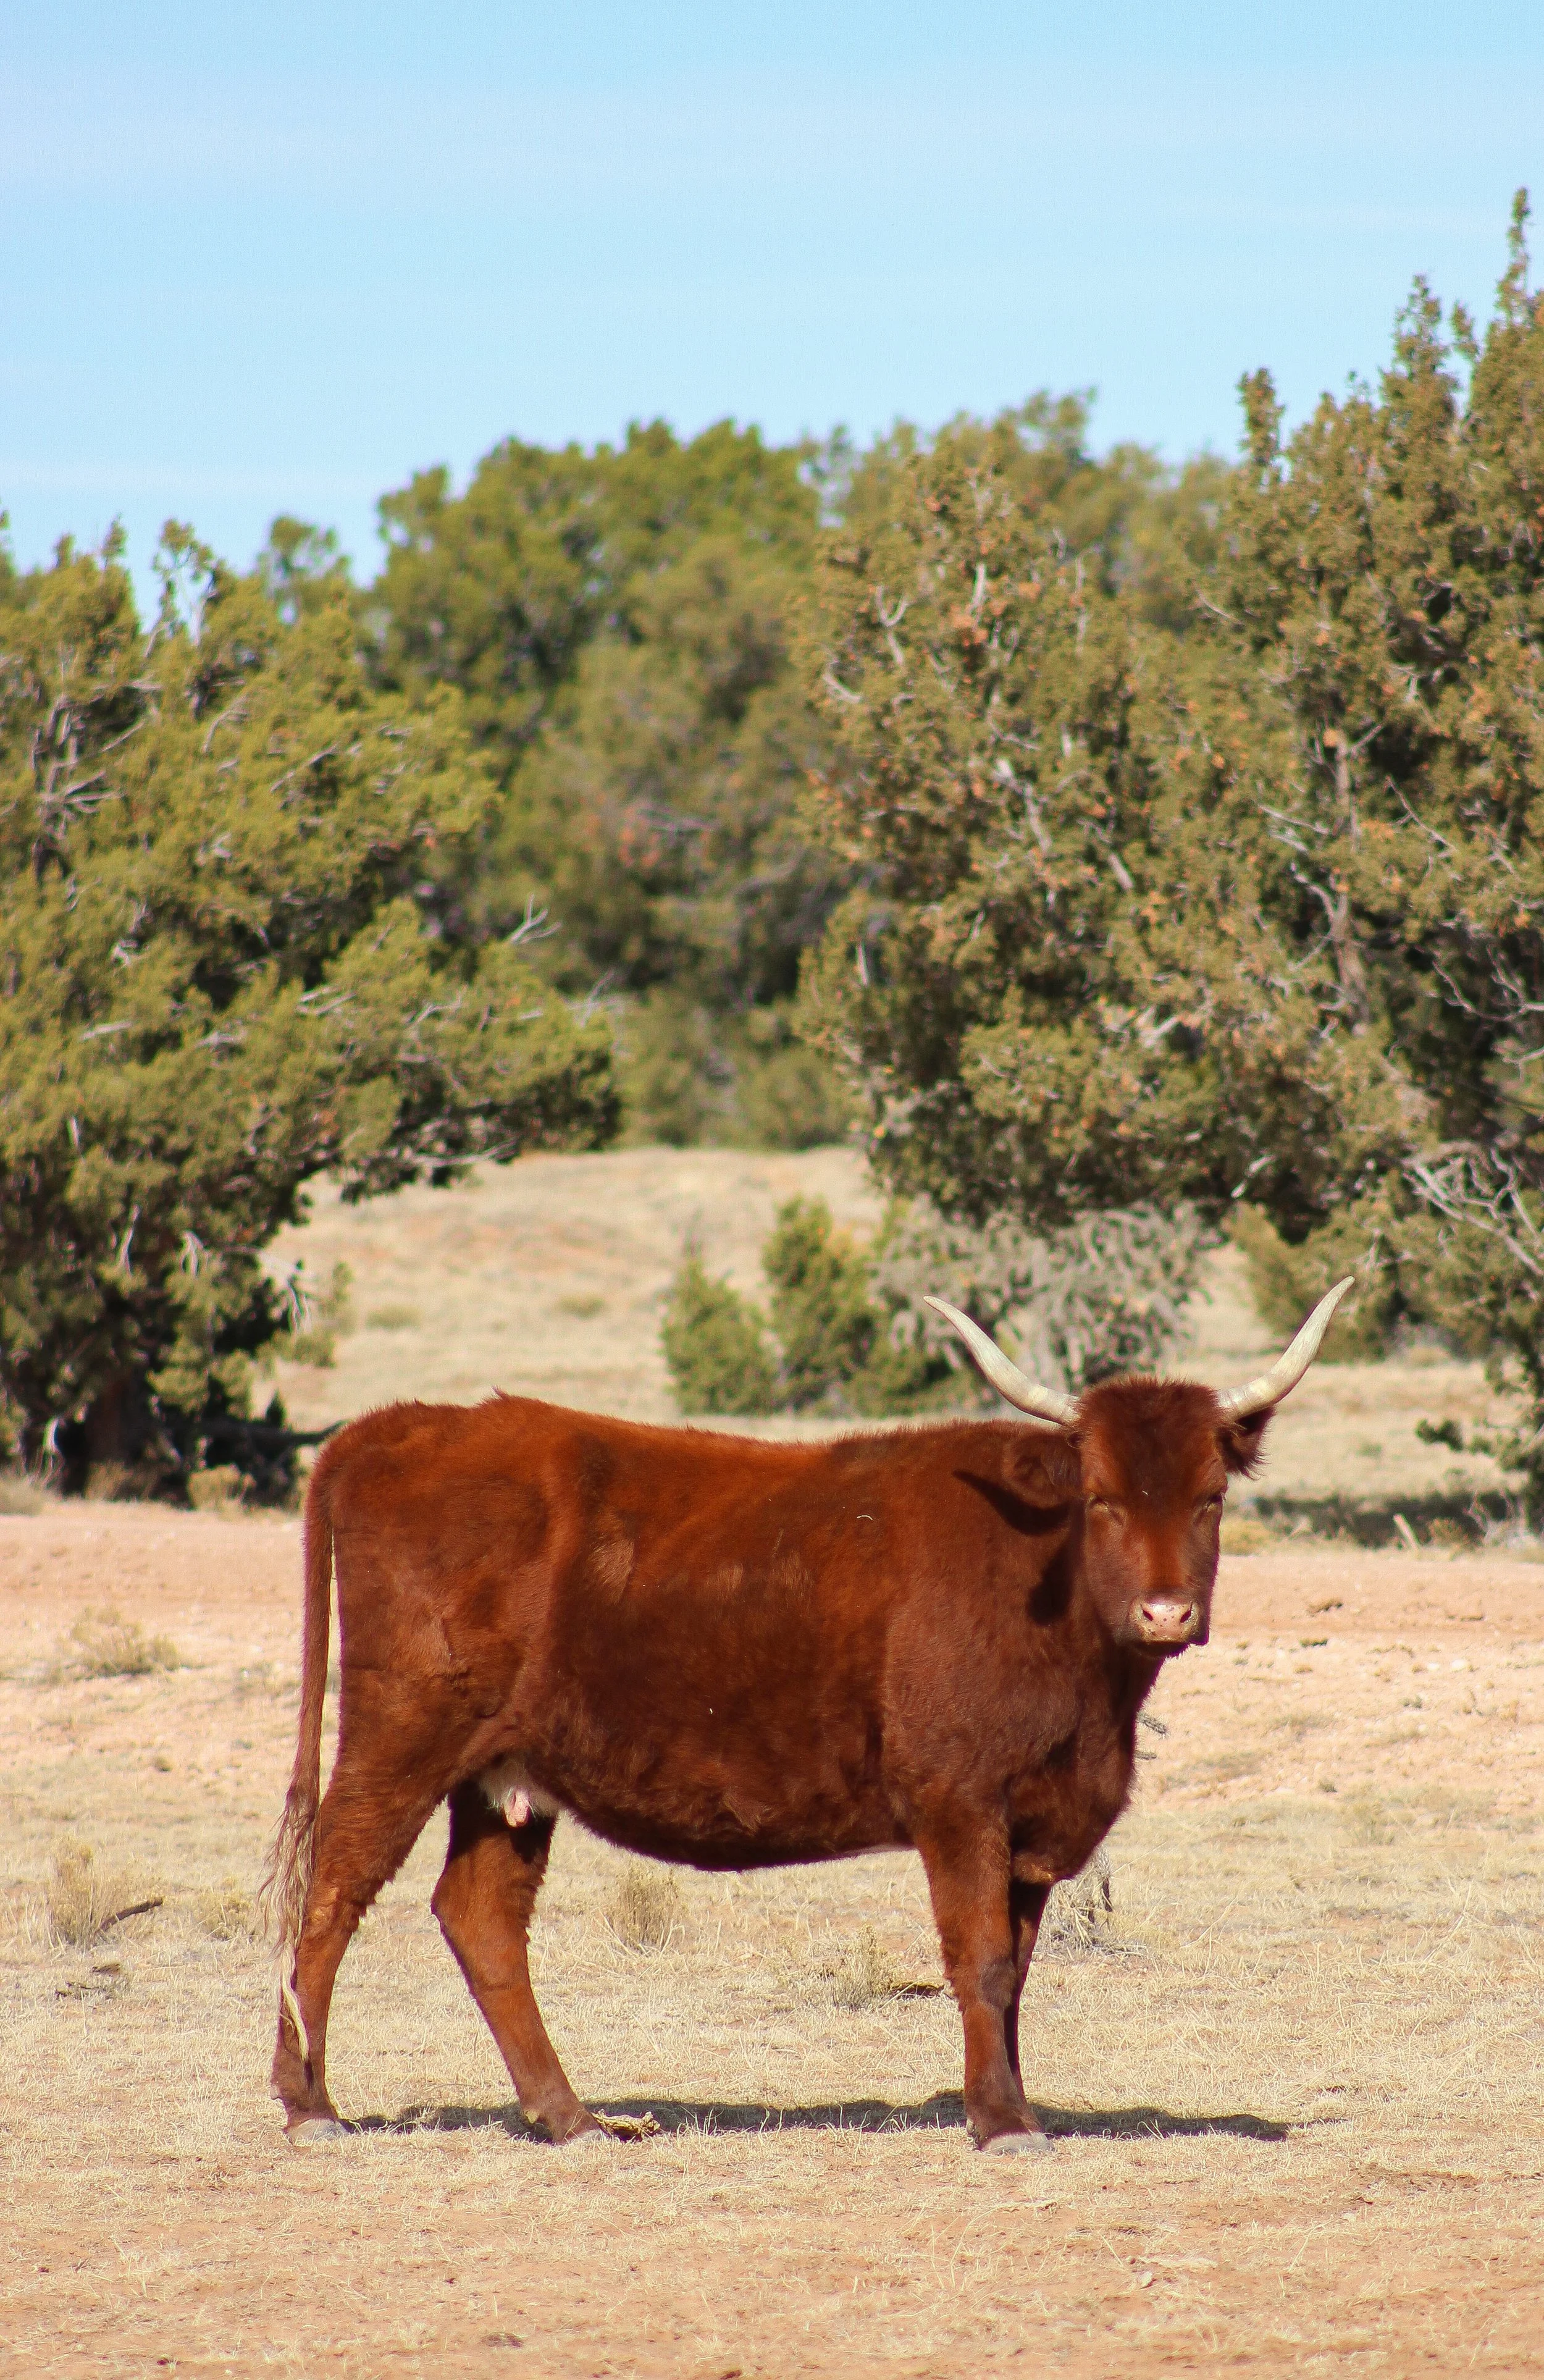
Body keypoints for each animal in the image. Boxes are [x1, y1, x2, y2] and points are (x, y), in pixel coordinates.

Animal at [263, 1277, 1351, 2154]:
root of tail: (400, 1425)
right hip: (400, 1738)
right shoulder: (959, 1803)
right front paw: (1001, 2123)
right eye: (1103, 1498)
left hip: (506, 1775)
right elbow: (983, 1960)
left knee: (481, 1920)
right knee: (332, 1893)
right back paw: (311, 2105)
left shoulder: (1034, 1821)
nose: (1166, 1612)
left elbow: (1017, 1973)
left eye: (1210, 1497)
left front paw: (1010, 2105)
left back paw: (570, 2119)